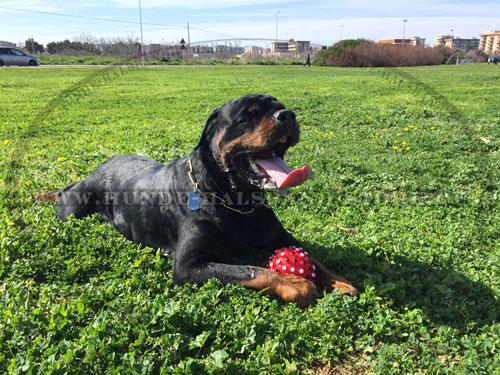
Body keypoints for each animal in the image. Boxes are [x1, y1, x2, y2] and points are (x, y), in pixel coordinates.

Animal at [38, 94, 360, 308]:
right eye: (248, 116)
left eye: (280, 108)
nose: (288, 115)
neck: (237, 202)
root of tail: (91, 173)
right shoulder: (188, 266)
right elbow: (250, 270)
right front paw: (297, 284)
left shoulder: (281, 237)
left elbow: (313, 257)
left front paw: (339, 281)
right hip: (74, 209)